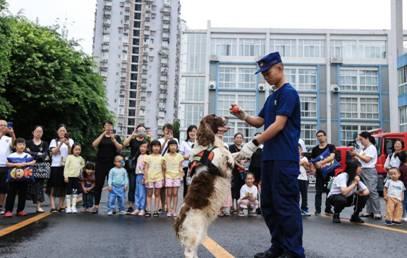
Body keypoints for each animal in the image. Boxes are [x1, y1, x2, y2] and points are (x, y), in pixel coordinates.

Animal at [174, 114, 234, 258]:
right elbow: (225, 153)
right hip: (194, 232)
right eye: (215, 116)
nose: (228, 116)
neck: (208, 145)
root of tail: (179, 221)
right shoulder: (218, 160)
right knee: (189, 252)